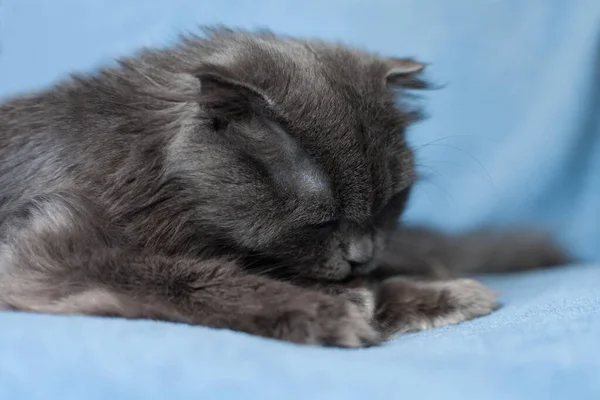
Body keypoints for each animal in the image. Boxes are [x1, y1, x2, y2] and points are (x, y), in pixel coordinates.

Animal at [0, 28, 568, 346]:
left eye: (388, 204)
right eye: (321, 218)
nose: (362, 252)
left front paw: (432, 296)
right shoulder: (54, 254)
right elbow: (197, 278)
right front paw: (330, 310)